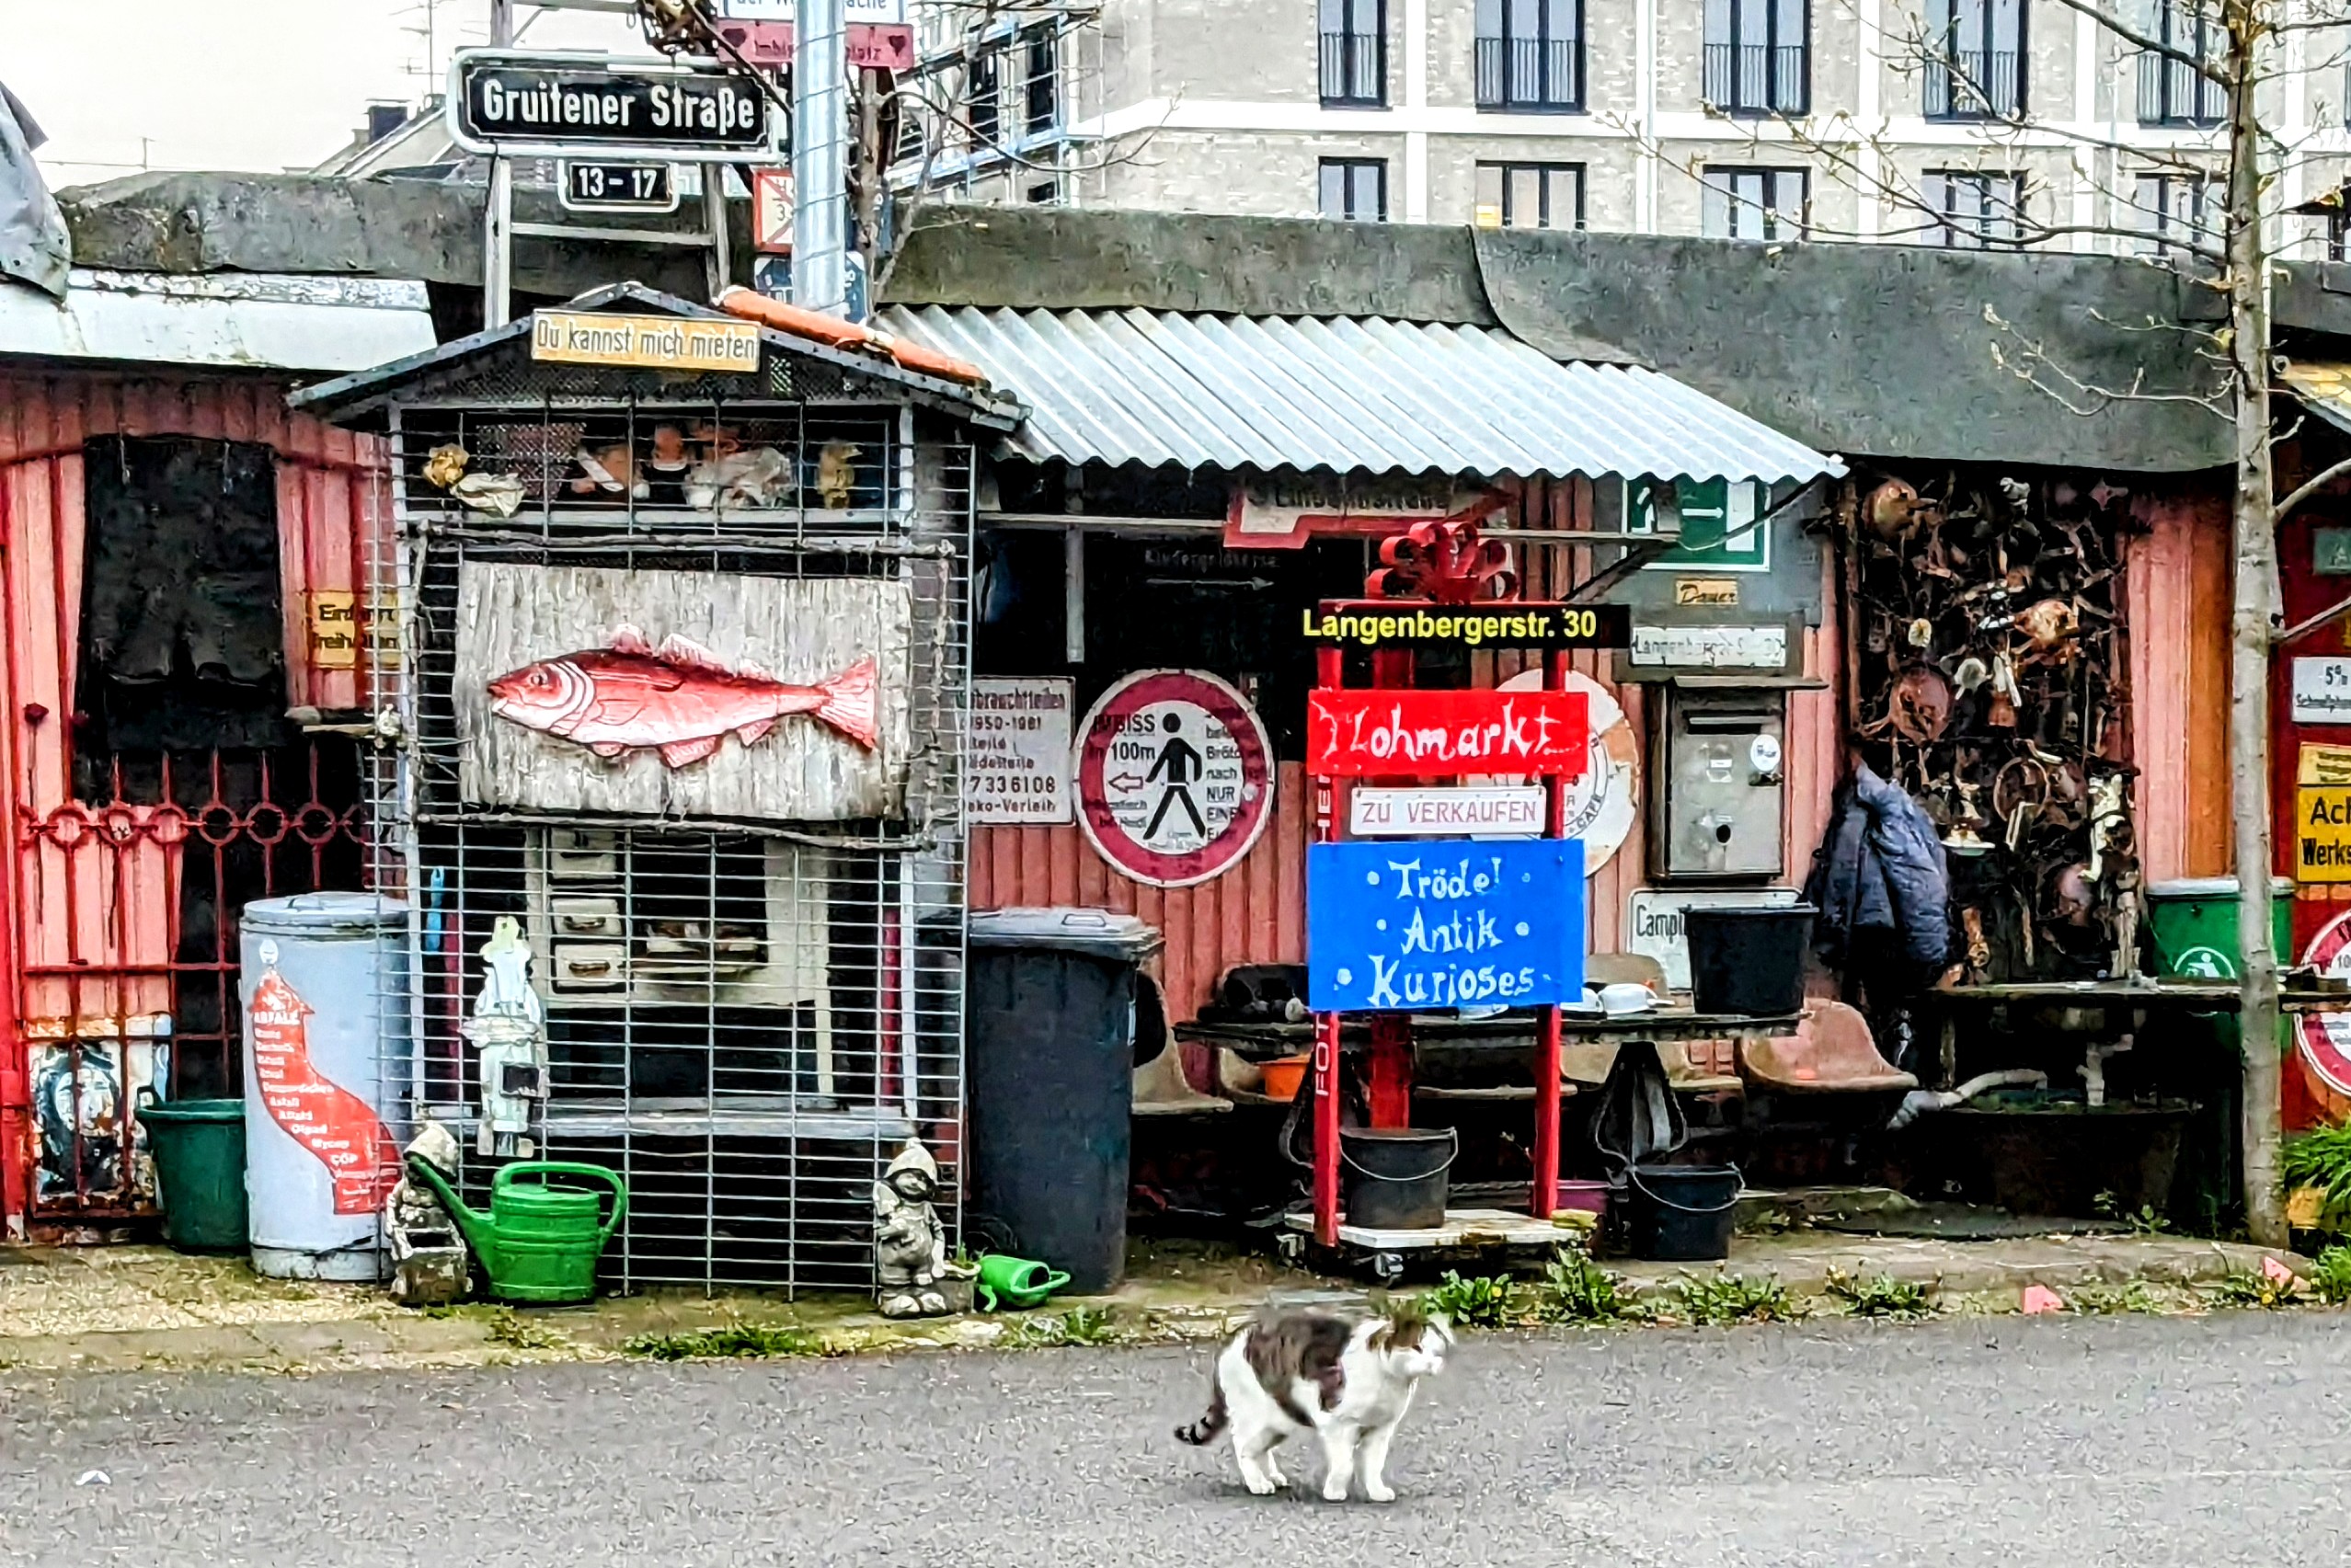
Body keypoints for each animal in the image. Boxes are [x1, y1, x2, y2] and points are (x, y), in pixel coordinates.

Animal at [1176, 1298, 1448, 1504]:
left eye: (1435, 1350)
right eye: (1416, 1347)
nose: (1435, 1363)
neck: (1390, 1381)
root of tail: (1229, 1341)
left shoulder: (1380, 1430)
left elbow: (1374, 1465)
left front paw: (1377, 1491)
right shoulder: (1338, 1424)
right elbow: (1345, 1465)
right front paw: (1335, 1492)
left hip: (1279, 1420)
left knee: (1260, 1450)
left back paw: (1272, 1476)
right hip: (1256, 1419)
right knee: (1242, 1447)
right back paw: (1258, 1483)